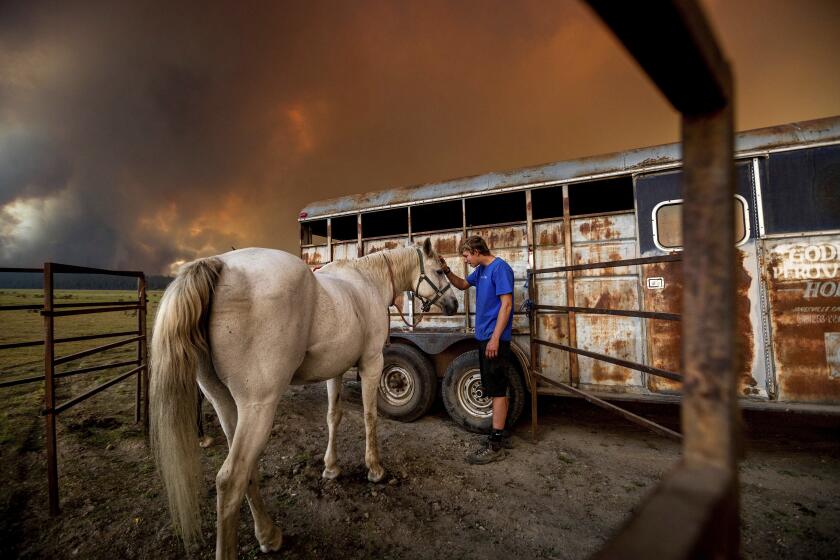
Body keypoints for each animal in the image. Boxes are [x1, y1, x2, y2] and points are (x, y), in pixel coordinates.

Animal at [148, 241, 456, 560]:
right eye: (439, 270)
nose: (454, 306)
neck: (367, 281)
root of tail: (217, 264)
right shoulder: (372, 363)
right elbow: (370, 416)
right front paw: (374, 469)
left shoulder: (335, 370)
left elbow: (333, 417)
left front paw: (331, 468)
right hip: (258, 407)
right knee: (231, 480)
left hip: (224, 404)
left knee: (247, 470)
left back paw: (269, 534)